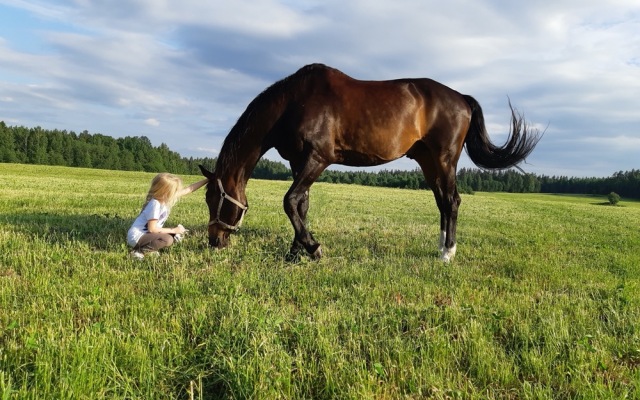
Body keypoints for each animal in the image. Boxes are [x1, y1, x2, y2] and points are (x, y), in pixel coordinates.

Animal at [199, 63, 540, 262]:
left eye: (214, 198)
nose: (214, 241)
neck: (294, 103)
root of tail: (461, 98)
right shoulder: (299, 162)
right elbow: (301, 205)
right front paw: (296, 251)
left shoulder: (317, 159)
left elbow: (290, 201)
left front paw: (313, 248)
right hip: (428, 161)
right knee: (442, 201)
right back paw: (441, 246)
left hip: (445, 159)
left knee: (452, 201)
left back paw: (448, 253)